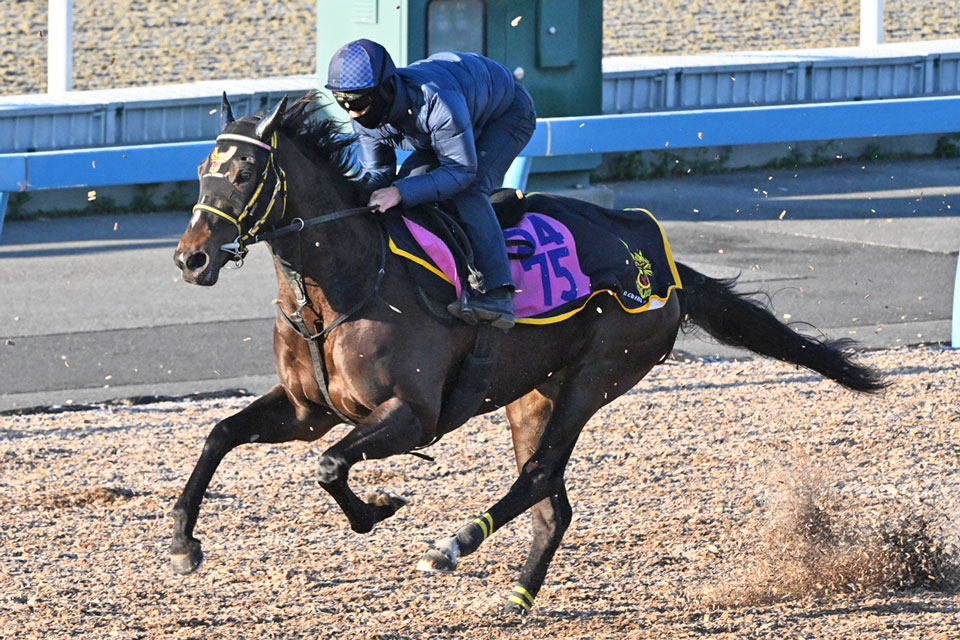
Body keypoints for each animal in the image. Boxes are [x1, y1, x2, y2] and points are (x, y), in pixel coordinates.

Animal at [171, 91, 886, 615]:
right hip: (535, 392)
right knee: (553, 500)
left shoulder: (412, 414)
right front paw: (183, 541)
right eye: (202, 171)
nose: (191, 258)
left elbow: (328, 466)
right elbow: (221, 433)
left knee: (539, 476)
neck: (344, 281)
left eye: (243, 172)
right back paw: (517, 594)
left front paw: (378, 509)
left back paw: (452, 547)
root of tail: (662, 264)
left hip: (598, 374)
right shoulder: (308, 408)